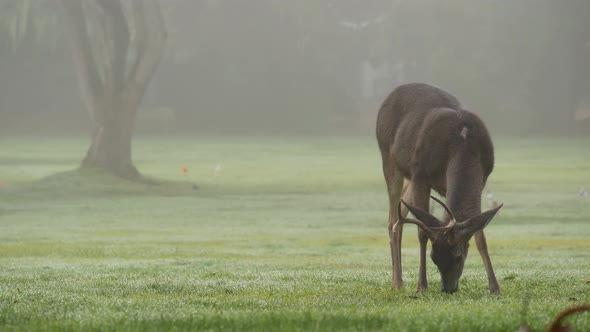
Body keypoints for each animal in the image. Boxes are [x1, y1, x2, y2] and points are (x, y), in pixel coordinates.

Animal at [376, 83, 506, 294]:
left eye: (459, 256)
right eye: (433, 258)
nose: (448, 289)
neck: (462, 144)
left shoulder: (482, 180)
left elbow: (480, 235)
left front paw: (495, 288)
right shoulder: (421, 173)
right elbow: (422, 232)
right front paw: (422, 286)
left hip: (409, 176)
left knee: (399, 215)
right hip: (389, 159)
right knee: (393, 218)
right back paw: (397, 282)